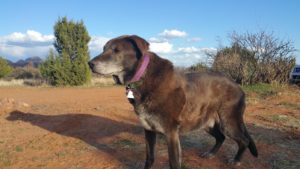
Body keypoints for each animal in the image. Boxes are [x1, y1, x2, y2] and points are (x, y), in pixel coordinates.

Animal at [87, 35, 258, 168]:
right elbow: (150, 158)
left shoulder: (171, 133)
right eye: (103, 49)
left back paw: (236, 160)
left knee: (243, 140)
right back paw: (210, 153)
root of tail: (238, 86)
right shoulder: (148, 130)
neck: (143, 77)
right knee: (220, 137)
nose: (90, 63)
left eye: (116, 50)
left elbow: (174, 163)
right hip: (205, 122)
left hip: (229, 122)